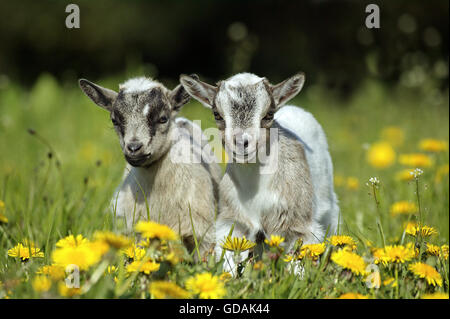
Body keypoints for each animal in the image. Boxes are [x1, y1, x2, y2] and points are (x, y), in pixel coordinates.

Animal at [181, 72, 340, 272]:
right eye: (217, 114)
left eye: (269, 114)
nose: (241, 143)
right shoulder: (234, 220)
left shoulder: (299, 225)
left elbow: (298, 265)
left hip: (328, 207)